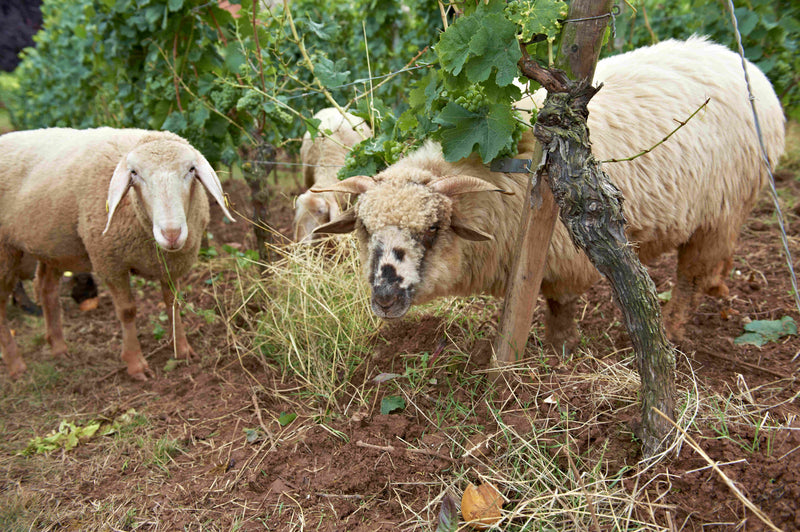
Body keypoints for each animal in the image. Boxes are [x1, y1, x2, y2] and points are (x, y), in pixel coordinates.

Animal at [0, 127, 235, 380]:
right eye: (134, 173)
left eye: (191, 169)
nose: (171, 233)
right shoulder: (110, 263)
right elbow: (127, 311)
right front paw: (135, 364)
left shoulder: (169, 265)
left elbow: (173, 304)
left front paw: (182, 350)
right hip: (6, 252)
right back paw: (16, 366)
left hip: (54, 247)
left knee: (46, 288)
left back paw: (59, 347)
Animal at [311, 37, 786, 351]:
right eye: (364, 229)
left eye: (433, 229)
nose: (385, 298)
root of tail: (736, 59)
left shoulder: (565, 253)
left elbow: (560, 305)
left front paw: (560, 352)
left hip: (721, 212)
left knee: (689, 277)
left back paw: (673, 327)